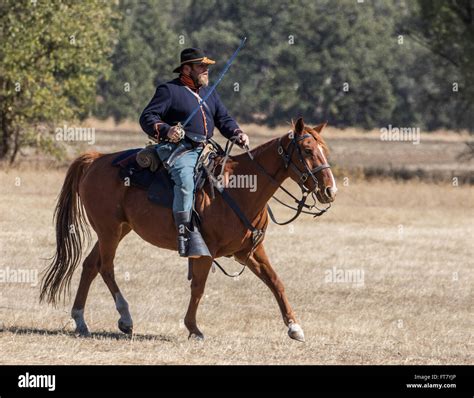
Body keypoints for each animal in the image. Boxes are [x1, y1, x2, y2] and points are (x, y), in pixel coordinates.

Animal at [40, 116, 336, 340]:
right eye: (307, 150)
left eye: (325, 150)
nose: (329, 191)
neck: (239, 188)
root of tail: (96, 159)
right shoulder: (204, 251)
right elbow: (199, 288)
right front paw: (193, 328)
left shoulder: (249, 251)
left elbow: (276, 282)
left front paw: (294, 327)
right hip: (109, 231)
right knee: (106, 267)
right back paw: (125, 318)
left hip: (117, 230)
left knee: (90, 265)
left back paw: (80, 320)